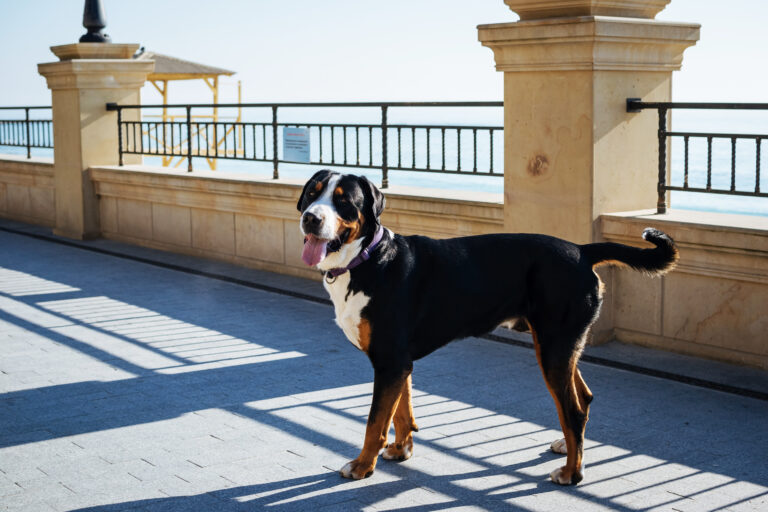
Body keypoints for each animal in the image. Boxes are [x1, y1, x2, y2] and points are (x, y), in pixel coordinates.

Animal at [296, 169, 680, 484]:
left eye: (344, 201)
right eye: (313, 194)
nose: (310, 218)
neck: (368, 259)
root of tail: (581, 250)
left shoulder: (389, 360)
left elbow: (375, 421)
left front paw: (362, 465)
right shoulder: (399, 363)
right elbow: (401, 411)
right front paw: (401, 450)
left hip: (554, 347)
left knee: (571, 409)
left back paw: (572, 473)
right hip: (561, 345)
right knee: (582, 400)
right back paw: (566, 448)